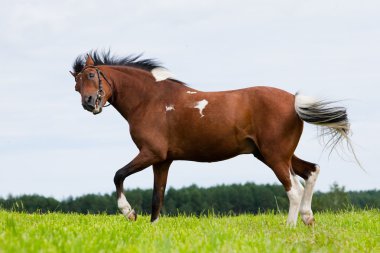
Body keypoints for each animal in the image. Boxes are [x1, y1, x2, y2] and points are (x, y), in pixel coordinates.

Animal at [70, 51, 354, 225]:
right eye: (76, 85)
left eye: (92, 75)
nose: (89, 103)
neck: (151, 100)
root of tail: (294, 101)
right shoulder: (162, 161)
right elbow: (157, 199)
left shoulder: (151, 153)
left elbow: (118, 175)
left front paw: (129, 213)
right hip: (272, 154)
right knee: (311, 171)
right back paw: (308, 219)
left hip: (275, 156)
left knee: (294, 190)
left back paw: (290, 227)